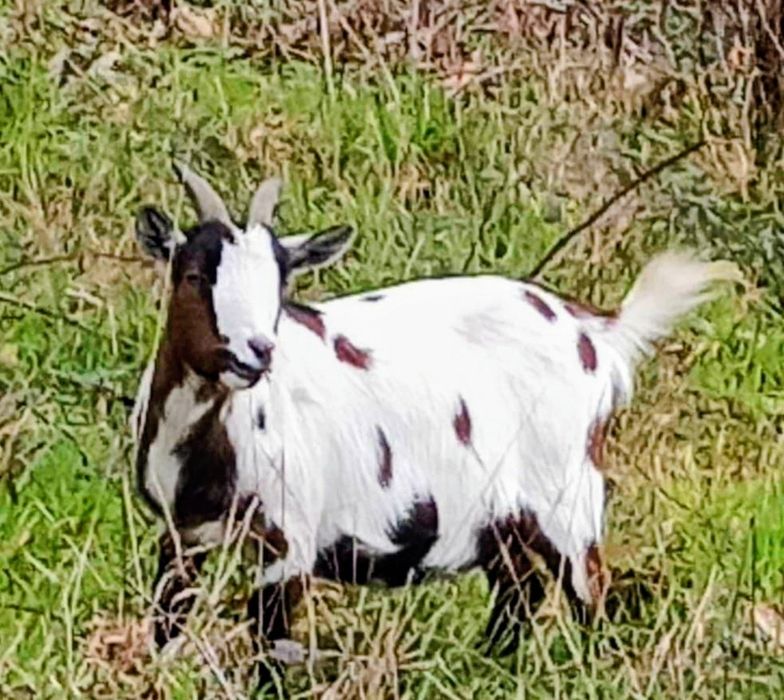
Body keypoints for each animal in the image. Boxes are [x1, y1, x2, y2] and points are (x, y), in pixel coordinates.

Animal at [131, 163, 738, 687]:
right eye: (193, 275)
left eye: (279, 286)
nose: (257, 351)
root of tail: (596, 334)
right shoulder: (181, 533)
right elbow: (167, 623)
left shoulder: (288, 539)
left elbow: (272, 645)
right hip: (500, 518)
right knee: (521, 590)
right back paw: (486, 670)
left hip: (566, 496)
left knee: (587, 594)